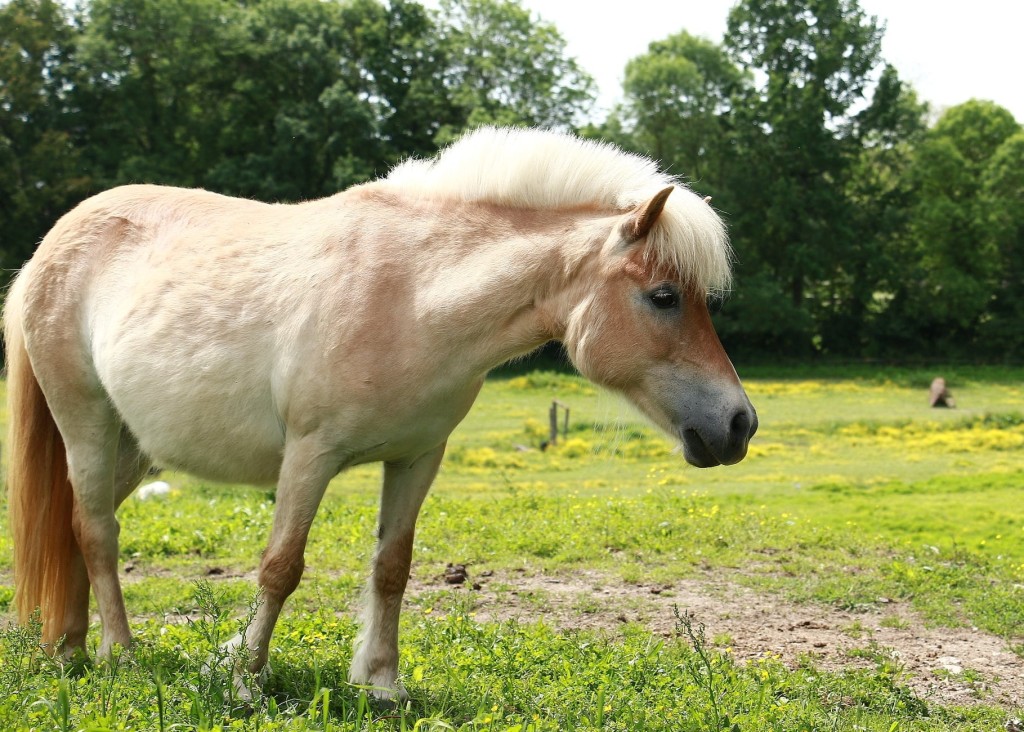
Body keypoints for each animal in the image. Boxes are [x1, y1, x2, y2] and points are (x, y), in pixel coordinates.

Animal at [6, 125, 761, 700]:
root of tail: (55, 243)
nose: (739, 424)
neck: (412, 294)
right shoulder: (309, 455)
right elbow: (281, 567)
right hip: (87, 422)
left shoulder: (417, 457)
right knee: (97, 532)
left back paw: (68, 648)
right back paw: (120, 653)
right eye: (664, 296)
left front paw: (382, 684)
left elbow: (391, 568)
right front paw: (244, 679)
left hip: (133, 445)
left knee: (72, 527)